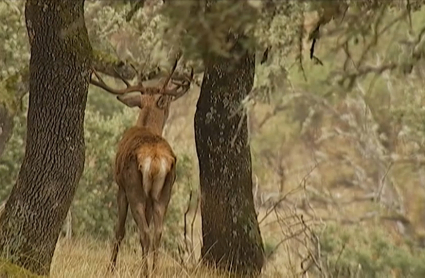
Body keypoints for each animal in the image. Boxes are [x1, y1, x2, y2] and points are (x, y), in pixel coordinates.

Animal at [91, 58, 194, 276]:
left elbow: (120, 230)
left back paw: (145, 272)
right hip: (164, 192)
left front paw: (110, 268)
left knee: (144, 231)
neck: (146, 125)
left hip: (134, 189)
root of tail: (155, 159)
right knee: (157, 232)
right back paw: (153, 270)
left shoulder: (121, 186)